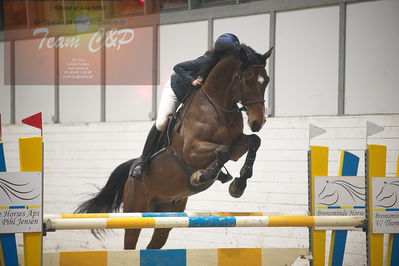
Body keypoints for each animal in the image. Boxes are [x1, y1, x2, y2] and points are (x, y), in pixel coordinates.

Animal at [76, 43, 274, 249]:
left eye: (266, 80)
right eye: (248, 81)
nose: (258, 122)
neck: (218, 105)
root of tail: (131, 171)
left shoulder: (236, 146)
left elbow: (253, 142)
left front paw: (239, 184)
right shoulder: (191, 150)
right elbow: (222, 151)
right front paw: (201, 176)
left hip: (167, 215)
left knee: (153, 246)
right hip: (135, 212)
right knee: (130, 243)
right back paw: (140, 168)